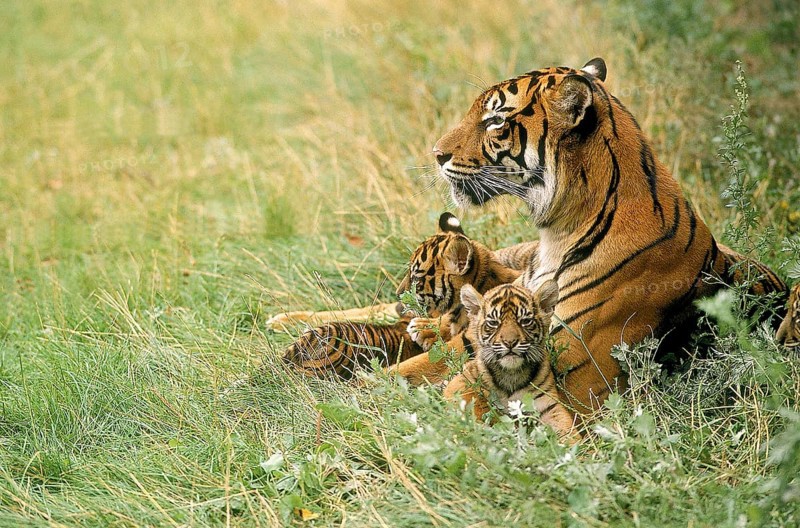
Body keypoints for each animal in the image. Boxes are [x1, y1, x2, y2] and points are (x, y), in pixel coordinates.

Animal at [443, 281, 580, 443]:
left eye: (525, 321)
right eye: (493, 323)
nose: (510, 342)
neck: (511, 373)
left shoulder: (548, 405)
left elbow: (566, 429)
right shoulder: (460, 382)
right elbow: (474, 404)